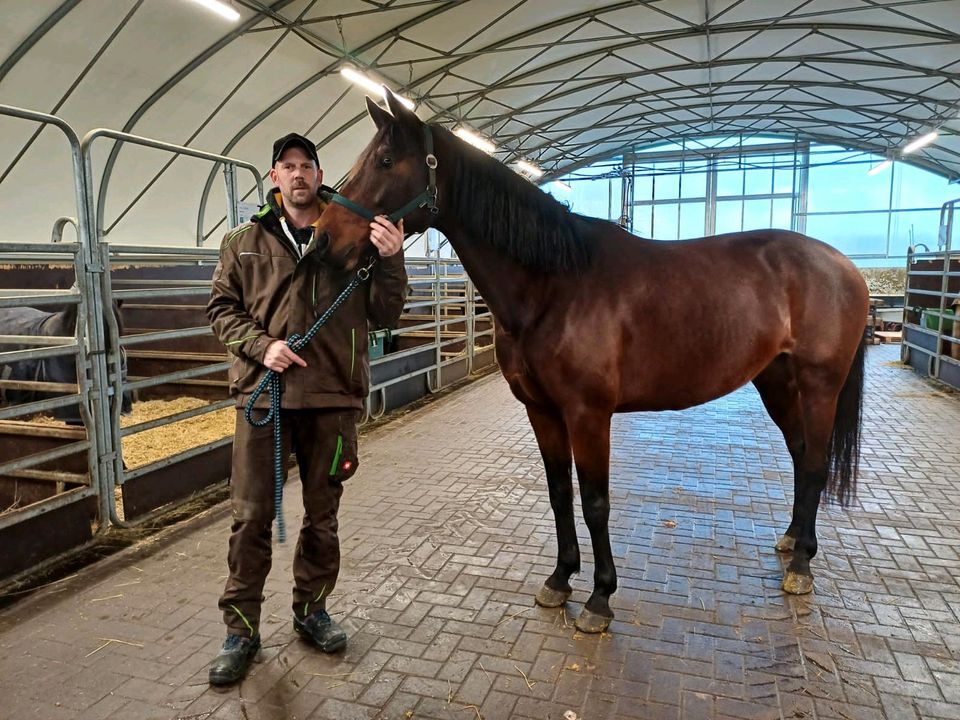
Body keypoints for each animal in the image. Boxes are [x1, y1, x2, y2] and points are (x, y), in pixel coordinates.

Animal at [316, 93, 872, 632]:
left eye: (386, 161)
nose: (322, 241)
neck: (555, 286)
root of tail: (844, 266)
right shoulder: (541, 411)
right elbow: (560, 493)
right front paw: (560, 579)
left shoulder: (588, 413)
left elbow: (595, 502)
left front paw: (600, 598)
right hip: (776, 381)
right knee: (801, 453)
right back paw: (791, 540)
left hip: (820, 385)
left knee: (816, 463)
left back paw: (801, 566)